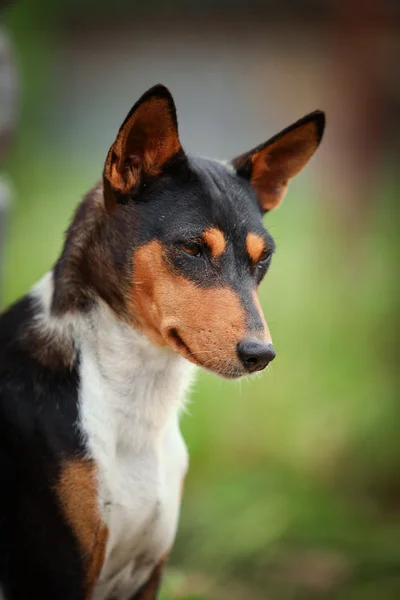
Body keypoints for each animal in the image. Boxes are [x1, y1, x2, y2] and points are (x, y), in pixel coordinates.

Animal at [0, 85, 324, 600]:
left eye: (263, 258)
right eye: (192, 248)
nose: (261, 355)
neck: (138, 408)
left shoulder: (146, 574)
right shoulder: (54, 574)